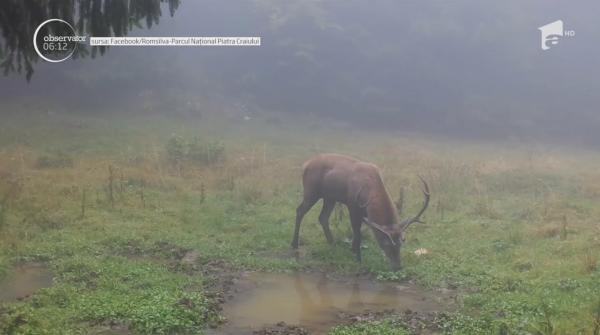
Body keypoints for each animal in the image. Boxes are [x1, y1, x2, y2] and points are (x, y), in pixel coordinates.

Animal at [292, 154, 428, 272]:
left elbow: (358, 231)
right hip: (311, 191)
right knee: (299, 211)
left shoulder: (365, 212)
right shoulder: (353, 205)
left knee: (323, 217)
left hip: (330, 197)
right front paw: (358, 258)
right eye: (385, 243)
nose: (398, 267)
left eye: (401, 242)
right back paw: (294, 244)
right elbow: (357, 233)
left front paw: (352, 250)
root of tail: (306, 164)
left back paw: (333, 243)